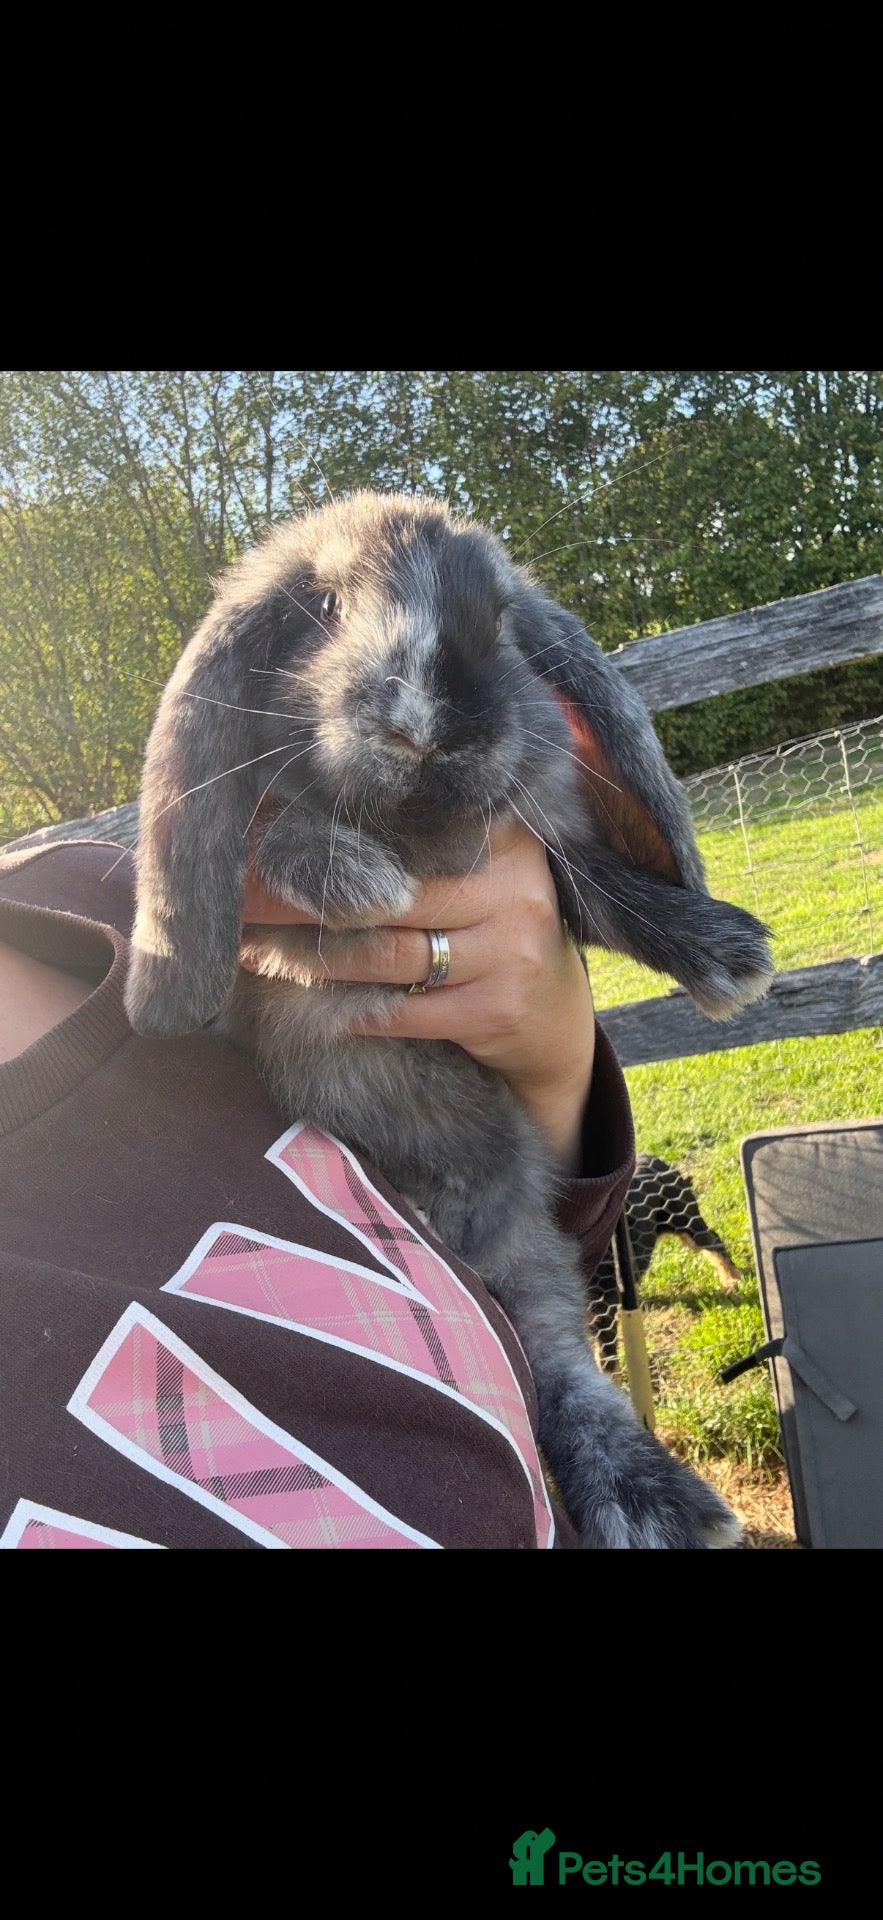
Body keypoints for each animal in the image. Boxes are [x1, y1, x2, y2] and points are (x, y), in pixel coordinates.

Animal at [126, 491, 772, 1548]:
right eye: (322, 610)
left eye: (502, 618)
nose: (427, 723)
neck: (415, 824)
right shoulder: (272, 929)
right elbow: (287, 846)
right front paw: (359, 879)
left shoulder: (545, 854)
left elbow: (598, 886)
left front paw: (729, 960)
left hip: (528, 1247)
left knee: (558, 1369)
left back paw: (651, 1502)